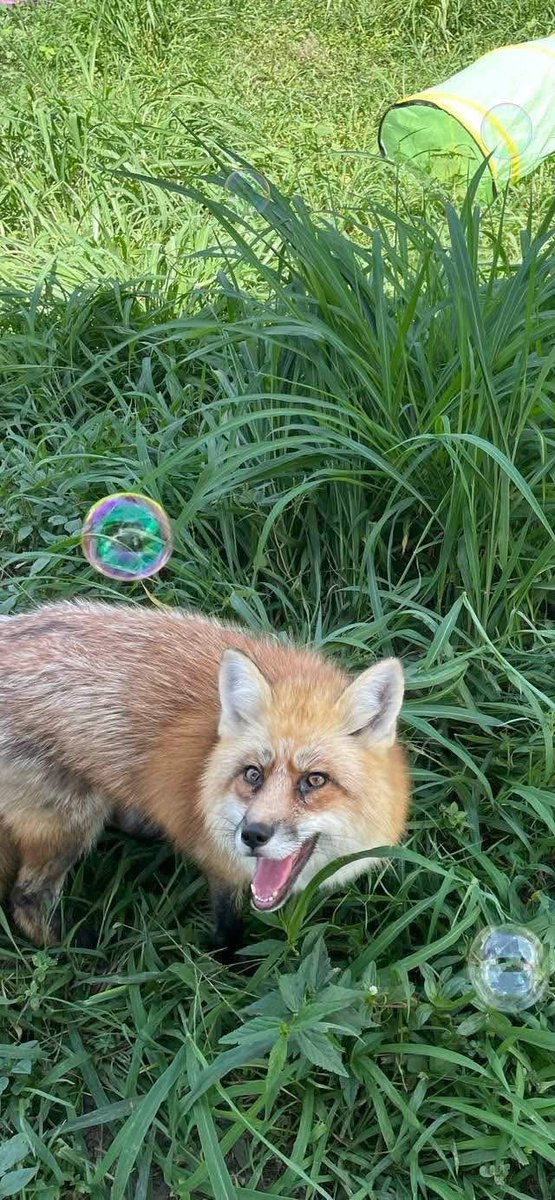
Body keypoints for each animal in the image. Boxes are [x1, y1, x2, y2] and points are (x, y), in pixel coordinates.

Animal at [0, 601, 410, 955]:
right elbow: (228, 920)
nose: (252, 835)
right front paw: (232, 961)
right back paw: (87, 950)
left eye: (315, 781)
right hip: (70, 824)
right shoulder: (221, 865)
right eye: (252, 774)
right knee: (24, 899)